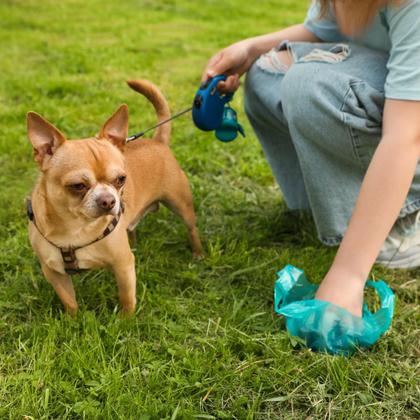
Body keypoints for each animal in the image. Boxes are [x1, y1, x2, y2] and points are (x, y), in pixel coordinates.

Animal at [27, 79, 202, 316]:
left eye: (121, 179)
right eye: (77, 186)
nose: (109, 200)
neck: (75, 227)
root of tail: (158, 141)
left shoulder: (123, 265)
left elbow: (127, 297)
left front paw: (126, 320)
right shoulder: (54, 272)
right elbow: (69, 301)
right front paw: (73, 320)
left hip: (181, 205)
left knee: (191, 228)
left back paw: (198, 253)